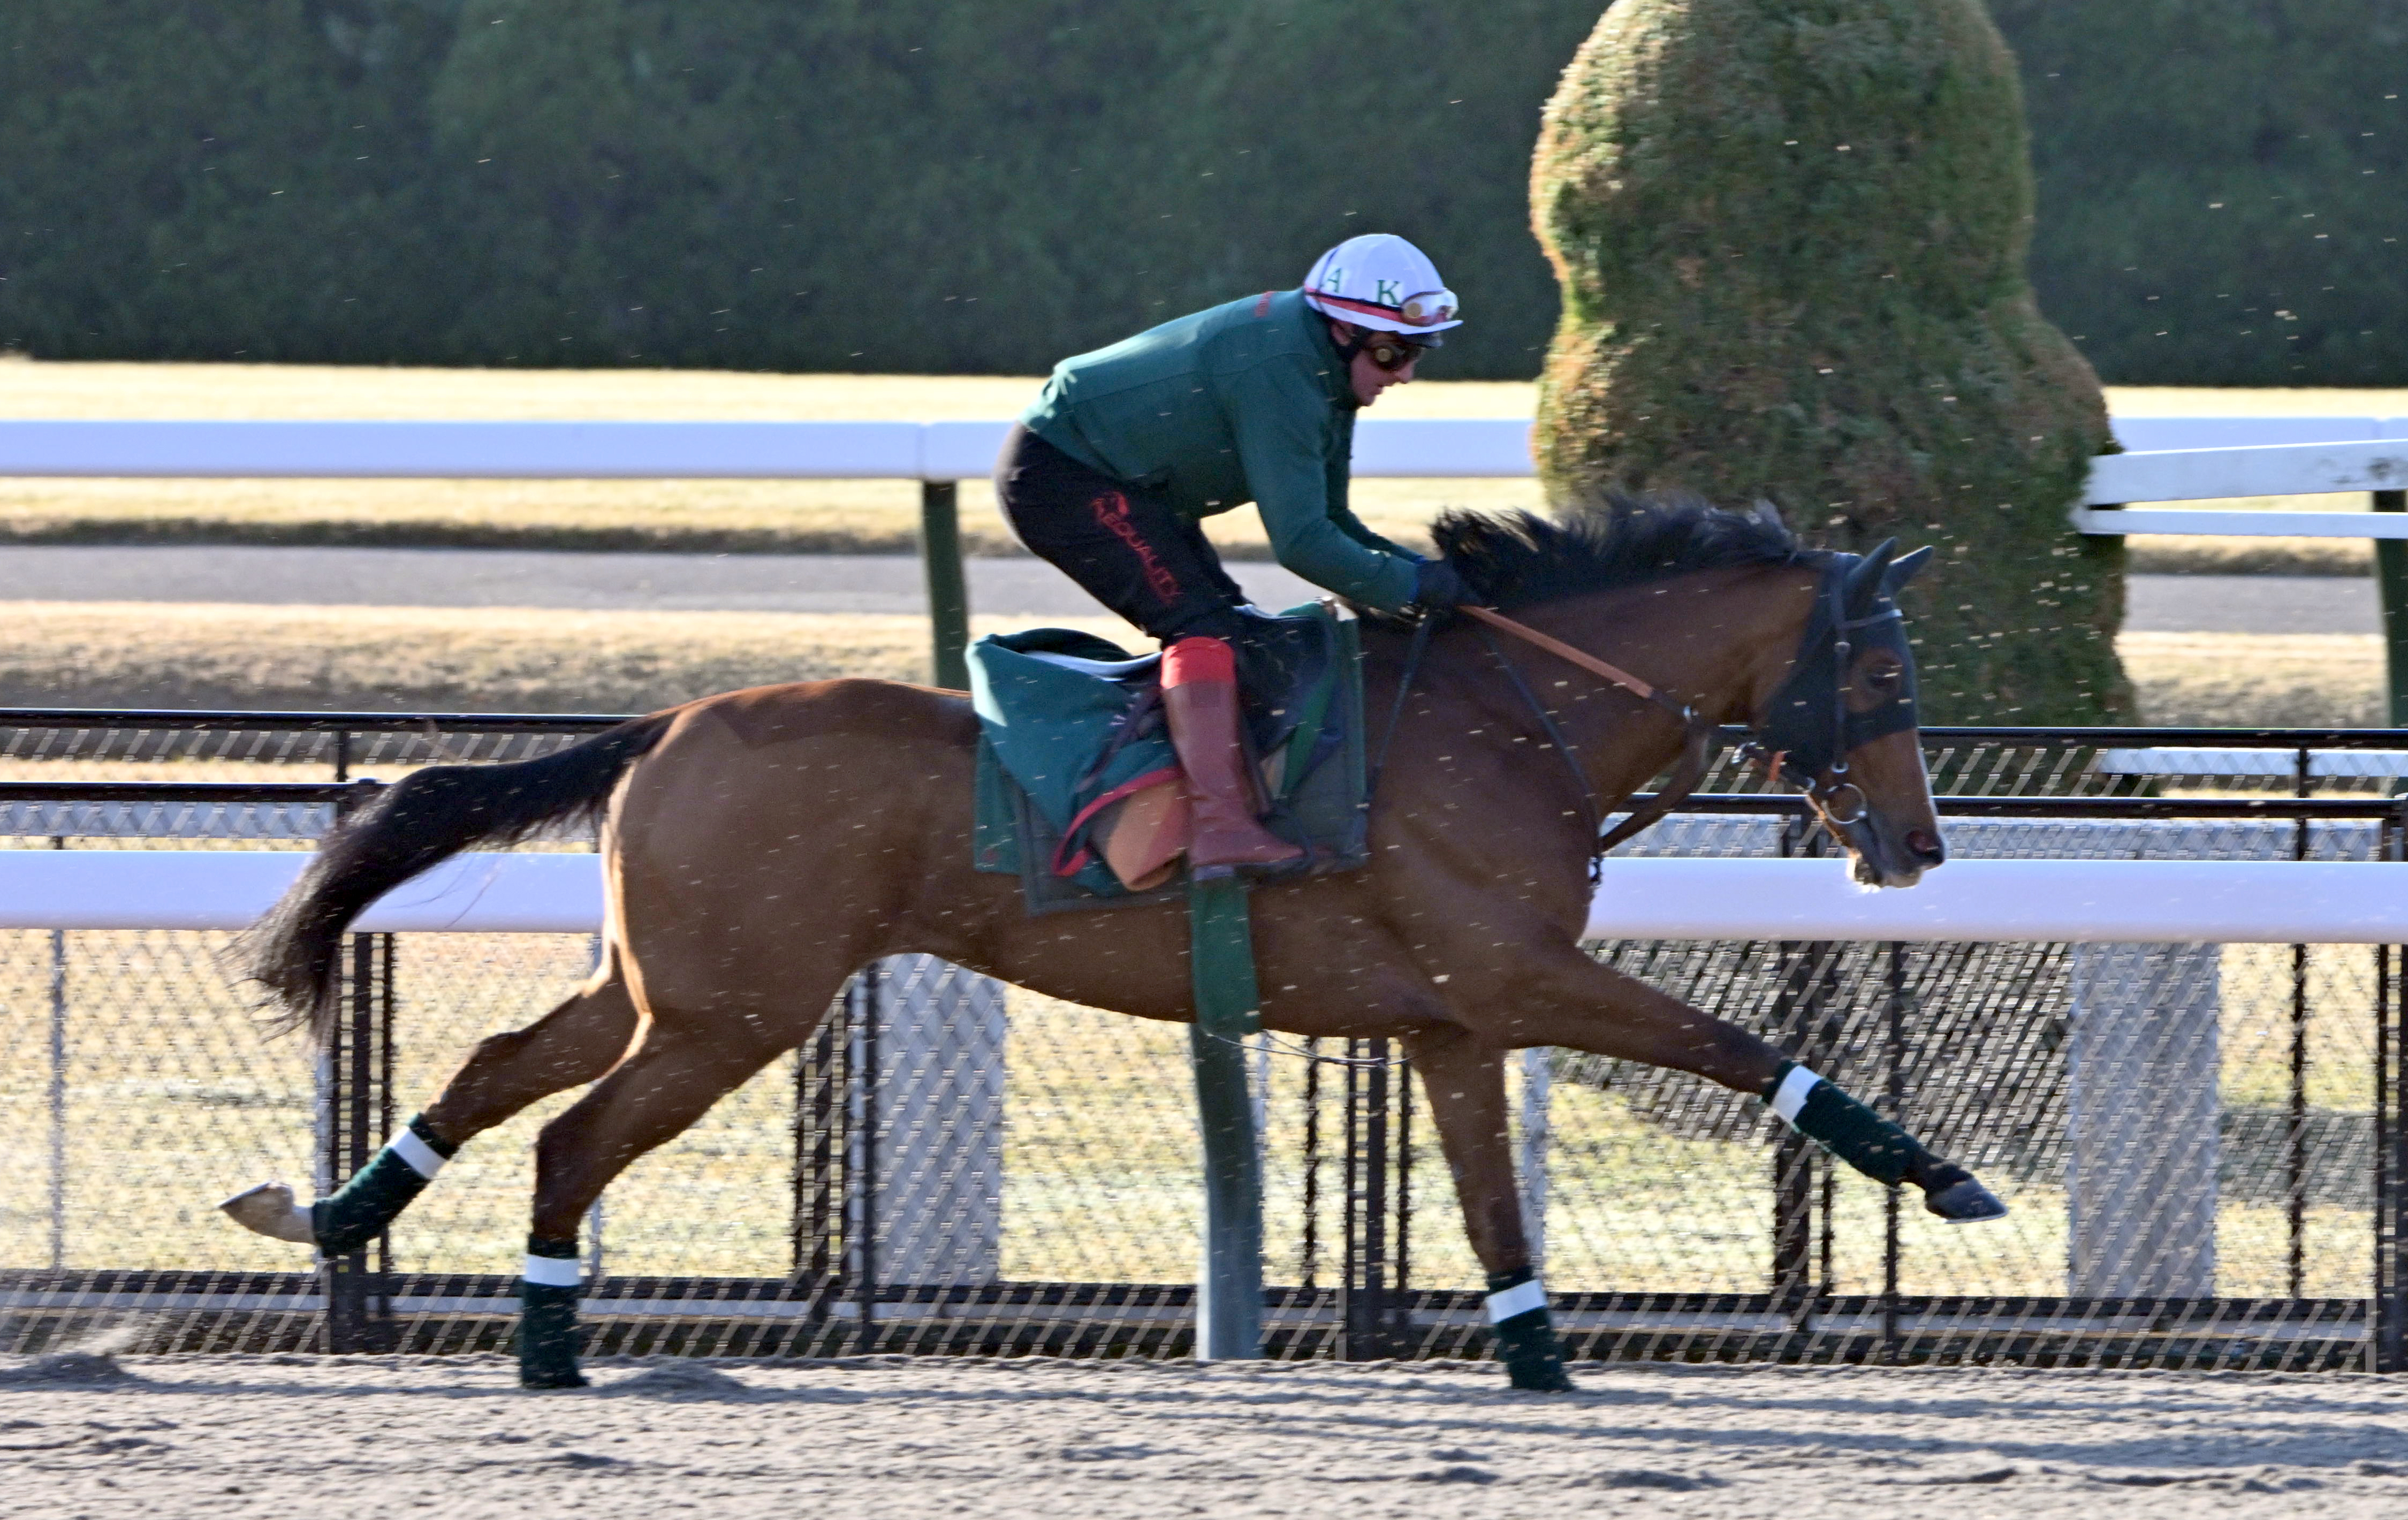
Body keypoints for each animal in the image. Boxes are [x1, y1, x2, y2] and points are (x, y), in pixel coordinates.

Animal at [222, 495, 2003, 1392]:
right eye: (1881, 671)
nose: (1917, 844)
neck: (1508, 718)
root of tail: (670, 719)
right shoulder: (1508, 975)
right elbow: (1748, 1049)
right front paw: (1943, 1176)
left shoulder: (1453, 1022)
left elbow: (1495, 1206)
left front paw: (1540, 1369)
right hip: (738, 1008)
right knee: (573, 1133)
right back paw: (540, 1347)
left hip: (675, 982)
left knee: (501, 1068)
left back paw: (334, 1212)